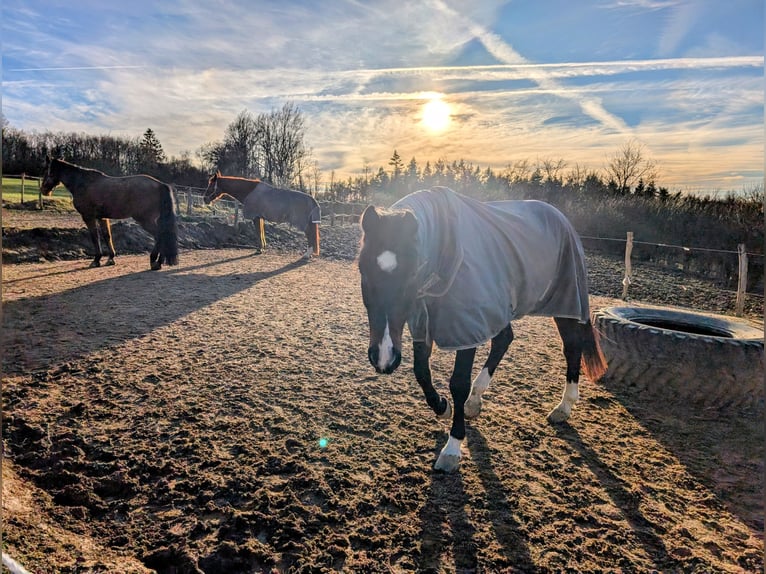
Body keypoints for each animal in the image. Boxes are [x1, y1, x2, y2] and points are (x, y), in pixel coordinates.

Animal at [42, 156, 180, 272]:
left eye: (47, 170)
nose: (43, 189)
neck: (83, 183)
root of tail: (160, 185)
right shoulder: (102, 217)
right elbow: (107, 236)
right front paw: (110, 259)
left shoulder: (88, 217)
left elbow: (95, 237)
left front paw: (96, 260)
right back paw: (159, 261)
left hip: (145, 219)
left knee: (160, 235)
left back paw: (154, 261)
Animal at [356, 187, 608, 474]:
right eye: (363, 269)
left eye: (411, 274)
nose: (383, 357)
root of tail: (561, 217)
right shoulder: (423, 320)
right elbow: (421, 372)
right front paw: (443, 407)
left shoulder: (466, 328)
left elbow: (458, 383)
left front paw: (452, 448)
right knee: (504, 339)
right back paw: (475, 400)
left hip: (566, 302)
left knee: (572, 347)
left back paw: (564, 407)